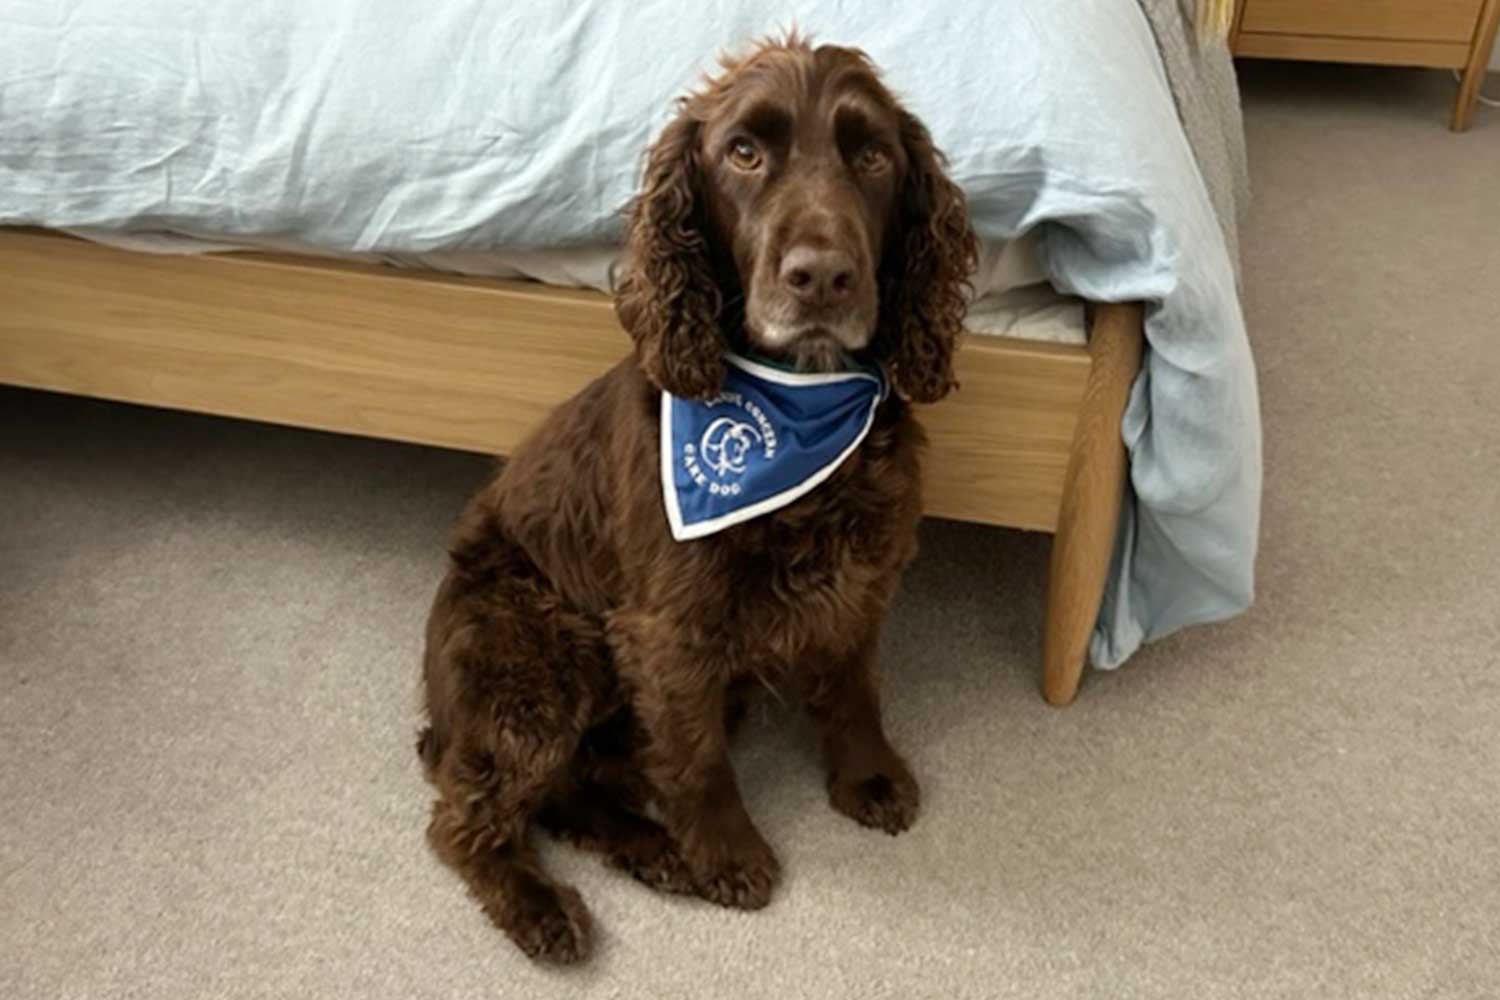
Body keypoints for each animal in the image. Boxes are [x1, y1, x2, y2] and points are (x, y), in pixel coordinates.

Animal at [414, 35, 972, 965]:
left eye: (873, 156)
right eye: (742, 153)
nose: (821, 276)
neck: (798, 413)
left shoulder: (860, 579)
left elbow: (853, 685)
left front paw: (867, 777)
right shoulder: (668, 630)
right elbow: (697, 754)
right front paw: (727, 855)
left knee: (571, 786)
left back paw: (650, 848)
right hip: (538, 651)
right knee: (467, 817)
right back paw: (545, 905)